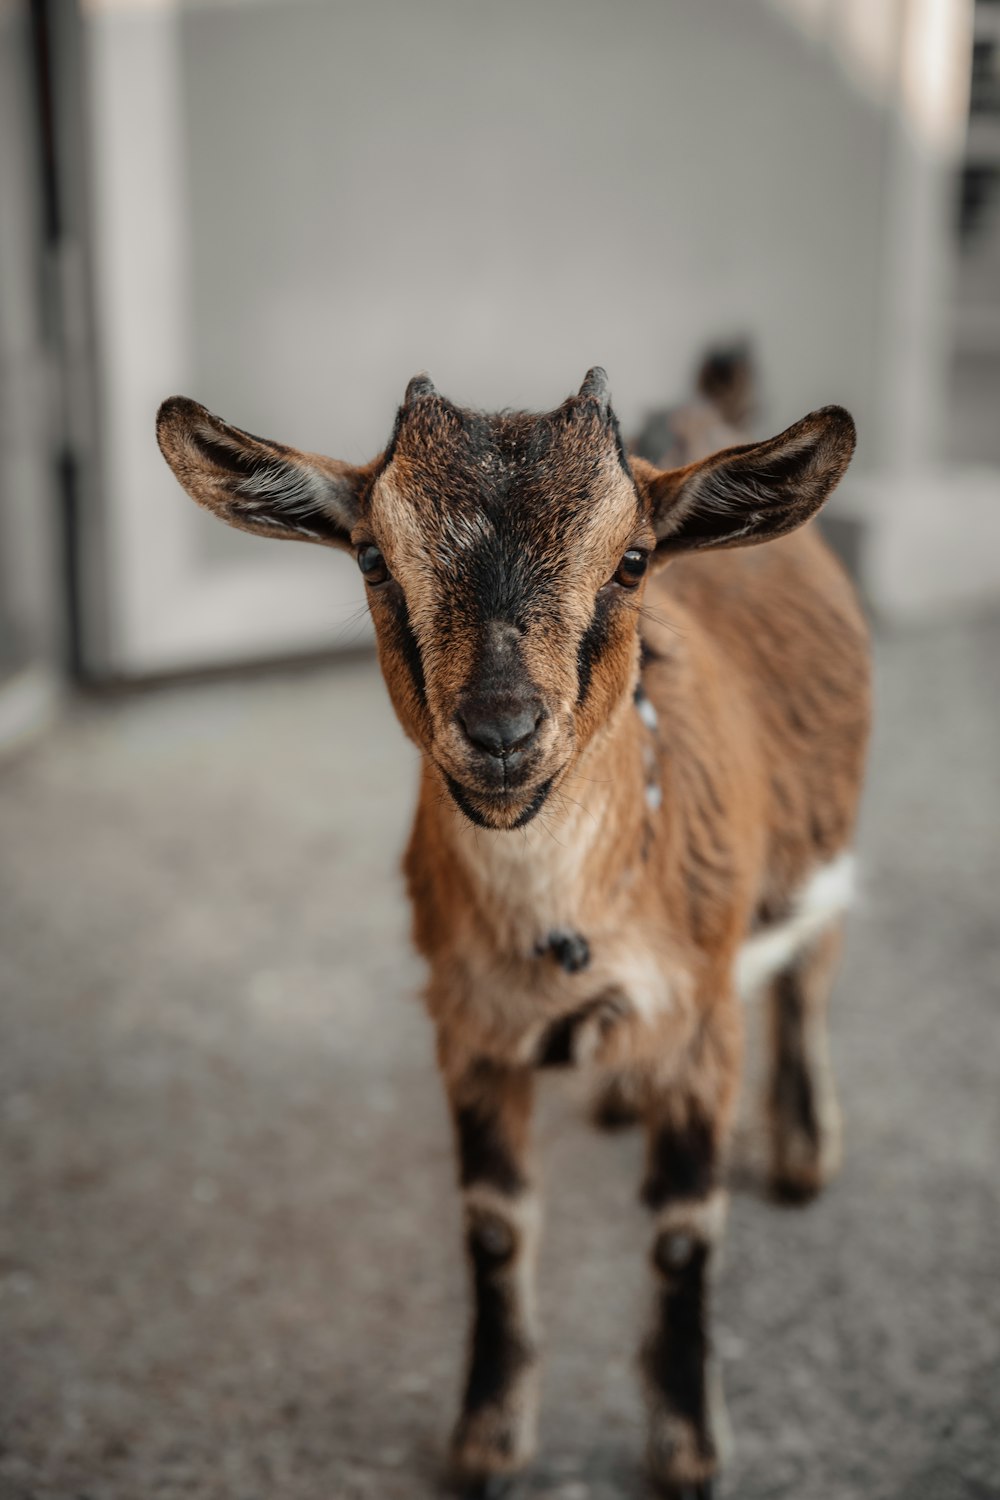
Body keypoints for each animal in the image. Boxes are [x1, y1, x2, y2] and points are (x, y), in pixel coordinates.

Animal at [156, 366, 869, 1500]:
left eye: (632, 559)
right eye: (372, 555)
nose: (501, 732)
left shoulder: (704, 1015)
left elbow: (682, 1232)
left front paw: (686, 1449)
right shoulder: (469, 1030)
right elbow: (493, 1225)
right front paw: (488, 1438)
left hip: (813, 853)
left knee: (811, 965)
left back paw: (803, 1152)